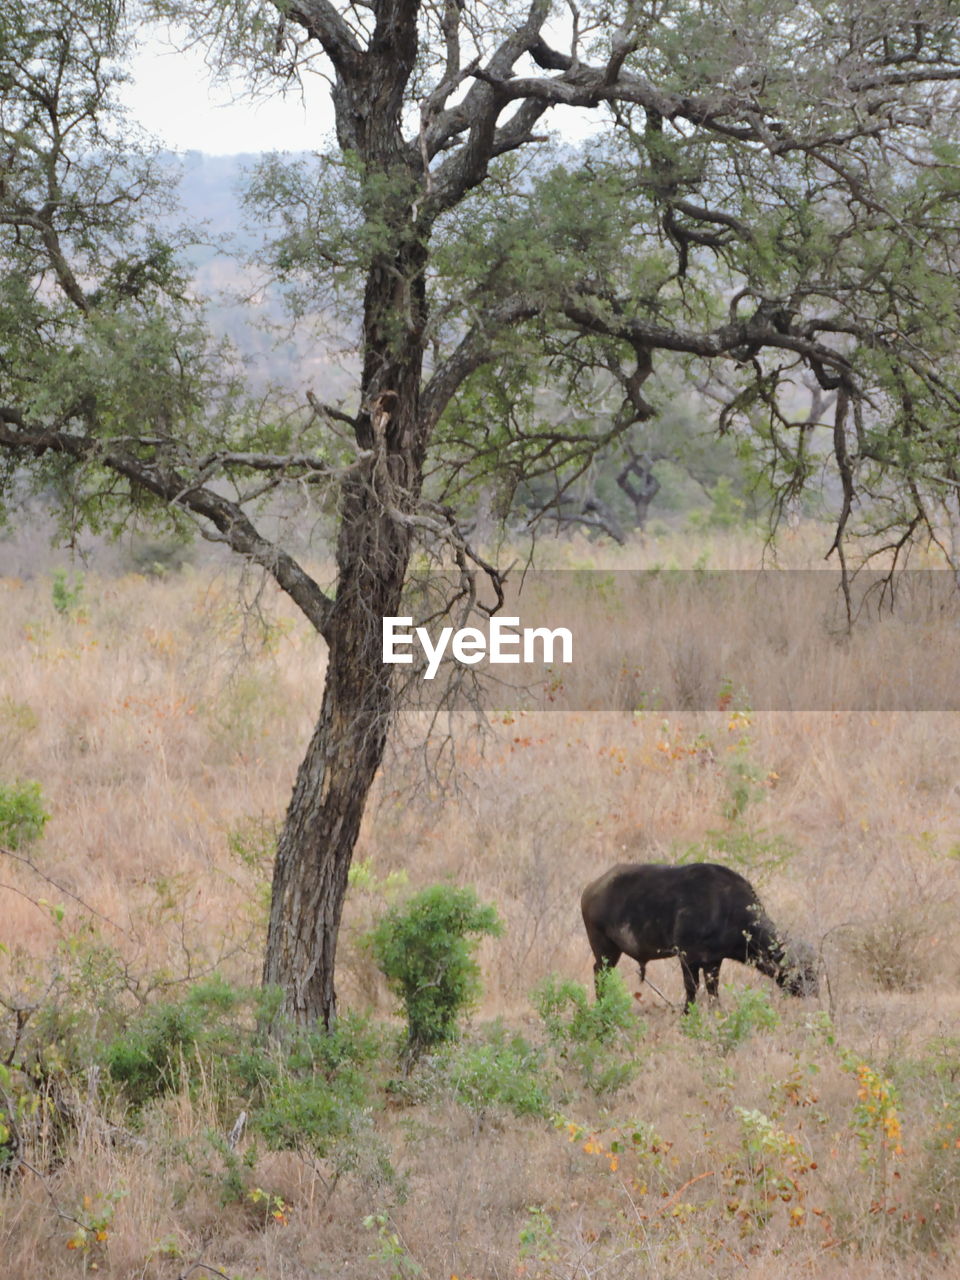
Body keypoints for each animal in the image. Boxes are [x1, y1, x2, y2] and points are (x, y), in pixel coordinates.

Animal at [578, 860, 819, 1008]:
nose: (814, 992)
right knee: (599, 974)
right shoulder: (688, 958)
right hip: (605, 949)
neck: (727, 908)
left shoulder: (714, 961)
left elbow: (713, 991)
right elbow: (692, 990)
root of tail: (591, 888)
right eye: (803, 971)